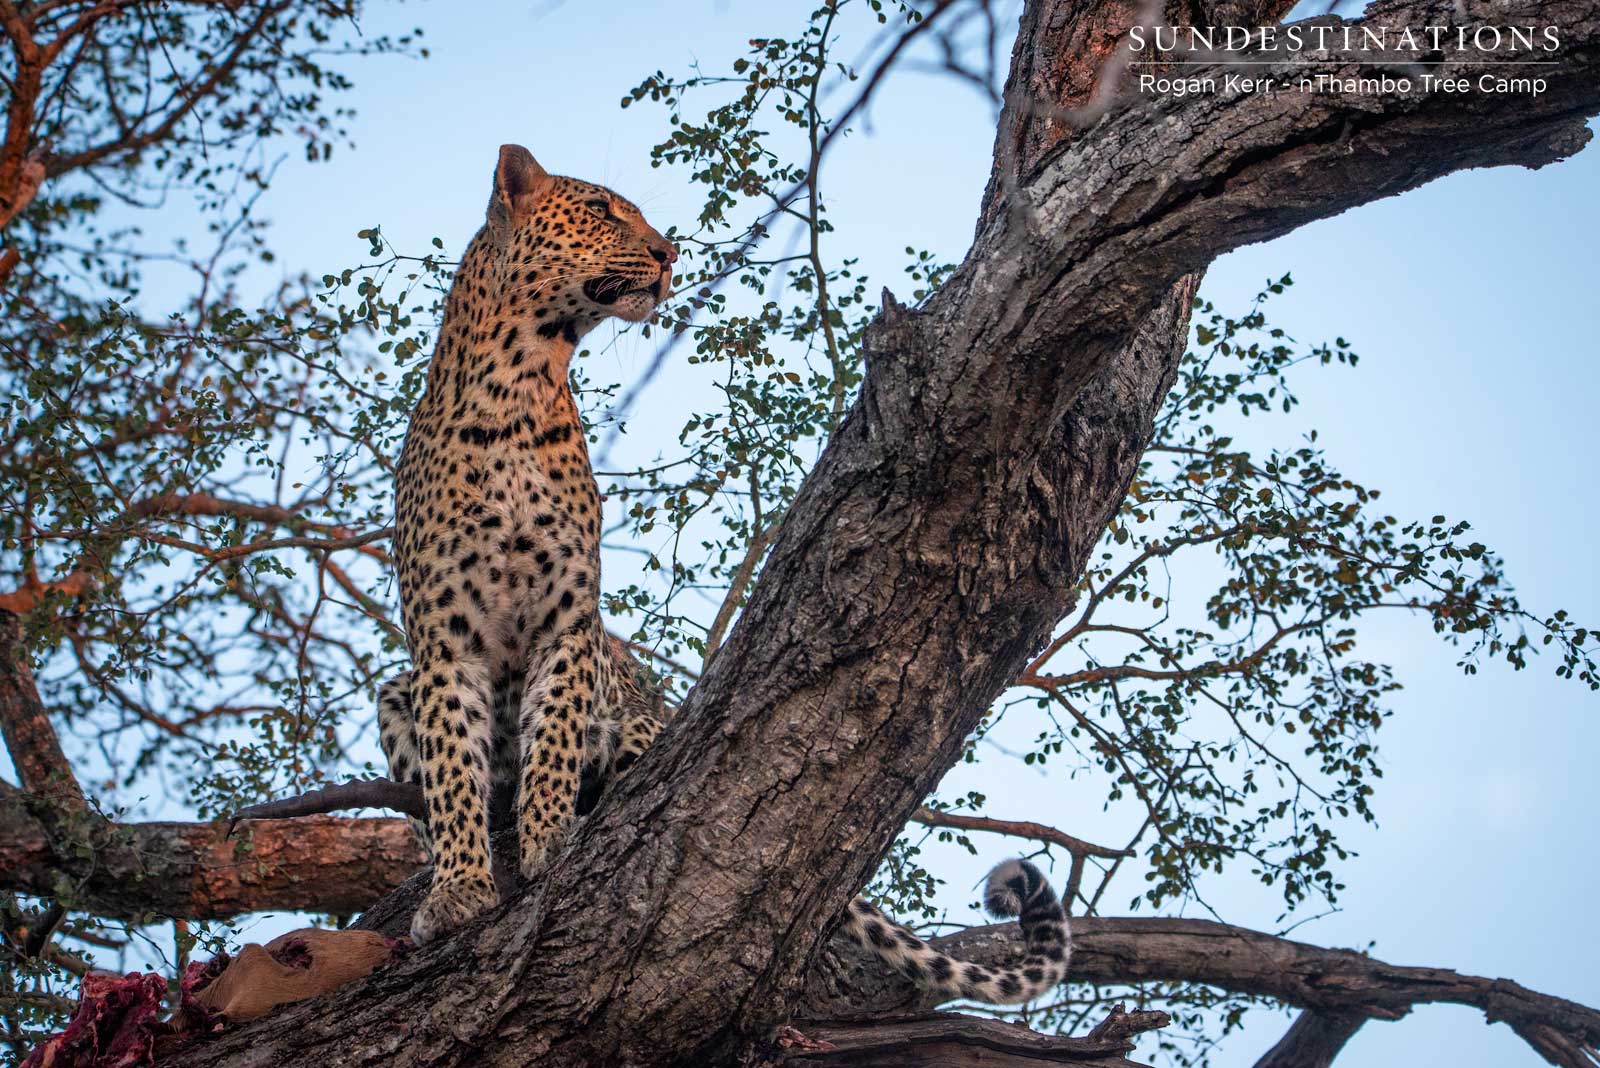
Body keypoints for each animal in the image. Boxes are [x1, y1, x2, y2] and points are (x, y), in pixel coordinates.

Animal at [375, 144, 1072, 1005]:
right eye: (602, 211)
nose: (670, 253)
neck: (518, 384)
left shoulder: (566, 624)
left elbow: (555, 738)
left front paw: (547, 841)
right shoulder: (446, 645)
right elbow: (451, 771)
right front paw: (462, 886)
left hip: (636, 718)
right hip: (394, 691)